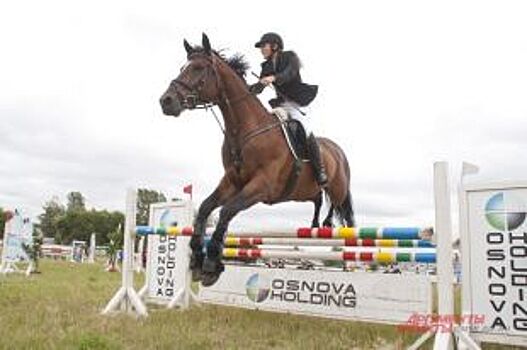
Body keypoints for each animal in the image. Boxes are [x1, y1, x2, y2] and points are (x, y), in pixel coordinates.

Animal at [158, 32, 354, 286]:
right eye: (183, 67)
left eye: (199, 68)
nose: (166, 101)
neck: (244, 131)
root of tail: (338, 150)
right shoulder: (232, 182)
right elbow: (205, 208)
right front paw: (197, 258)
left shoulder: (262, 186)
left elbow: (226, 211)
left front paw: (211, 264)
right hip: (306, 192)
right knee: (319, 199)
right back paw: (316, 225)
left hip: (339, 188)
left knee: (341, 210)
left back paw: (339, 240)